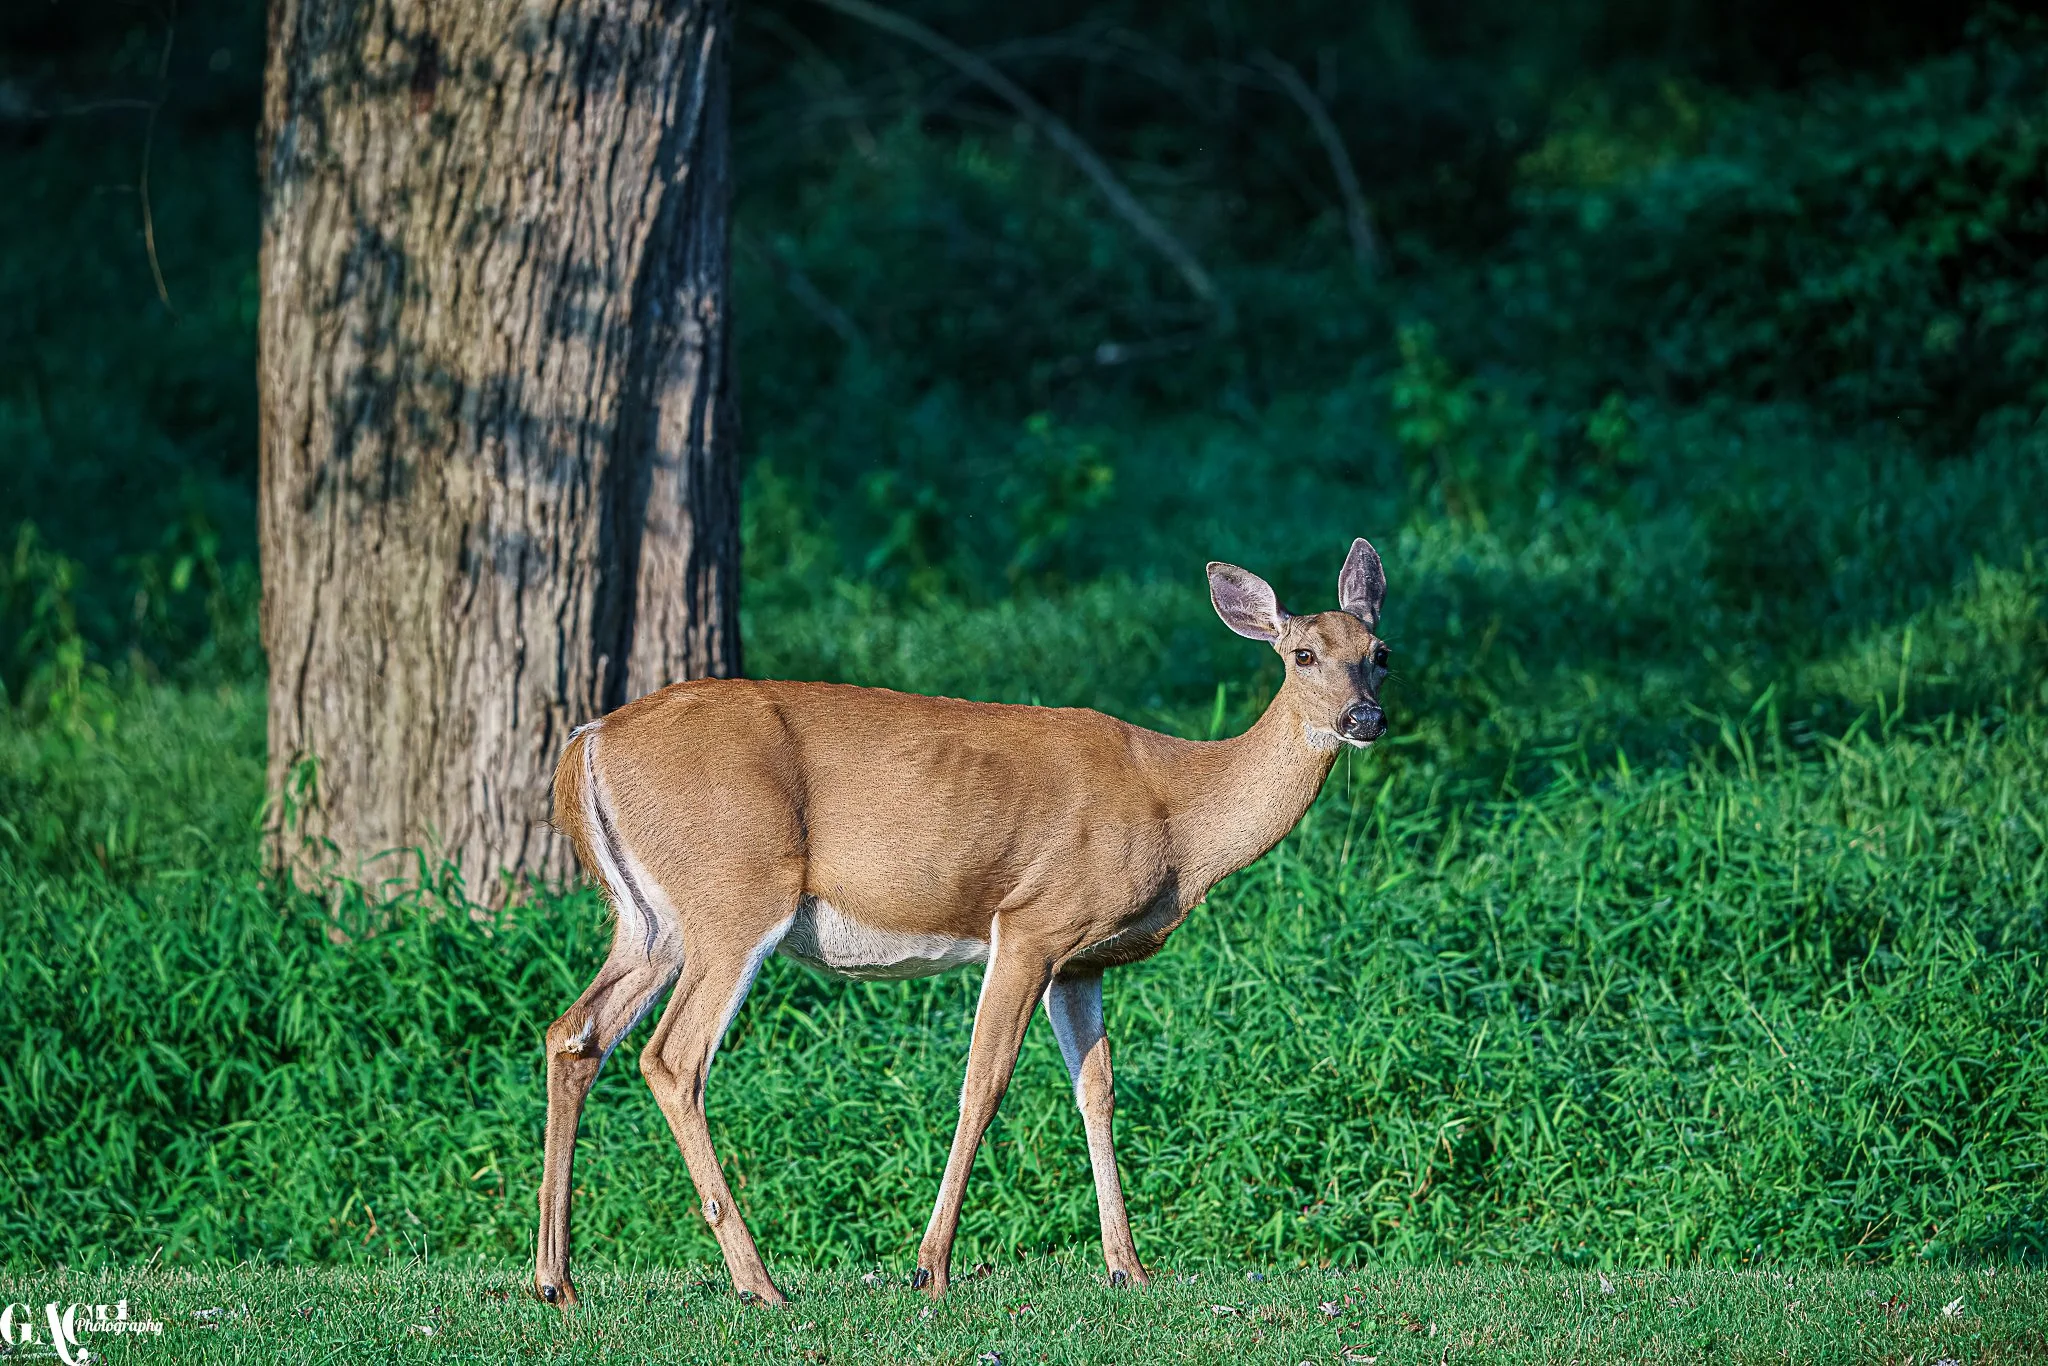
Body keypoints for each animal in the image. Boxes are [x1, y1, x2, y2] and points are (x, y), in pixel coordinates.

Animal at [534, 538, 1391, 1307]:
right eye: (1303, 654)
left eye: (1380, 652)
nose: (1366, 717)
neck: (1176, 811)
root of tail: (586, 744)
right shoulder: (1034, 920)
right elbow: (985, 1082)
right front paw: (929, 1268)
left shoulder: (1082, 961)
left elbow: (1098, 1090)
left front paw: (1129, 1269)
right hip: (734, 891)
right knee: (673, 1057)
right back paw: (757, 1283)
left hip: (649, 920)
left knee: (574, 1033)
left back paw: (556, 1281)